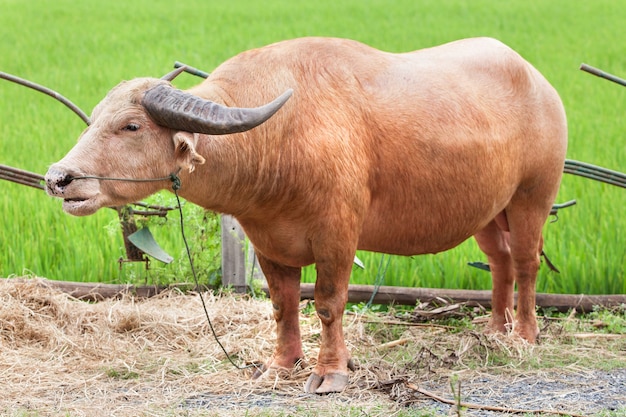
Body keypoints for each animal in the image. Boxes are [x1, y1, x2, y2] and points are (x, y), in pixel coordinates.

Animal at [45, 37, 564, 392]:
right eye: (95, 120)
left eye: (131, 126)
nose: (58, 178)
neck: (278, 140)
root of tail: (540, 83)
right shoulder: (267, 241)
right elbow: (283, 305)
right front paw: (281, 364)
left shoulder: (338, 235)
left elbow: (329, 304)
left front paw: (330, 373)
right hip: (488, 212)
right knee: (499, 262)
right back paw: (494, 330)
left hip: (532, 197)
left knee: (525, 263)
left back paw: (524, 335)